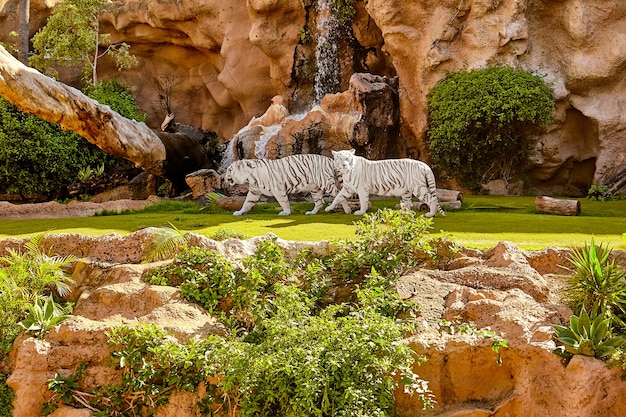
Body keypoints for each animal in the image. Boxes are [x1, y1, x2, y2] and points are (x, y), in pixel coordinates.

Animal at [224, 154, 352, 218]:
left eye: (229, 170)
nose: (224, 178)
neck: (250, 177)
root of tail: (330, 160)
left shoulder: (278, 189)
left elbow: (283, 202)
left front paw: (285, 213)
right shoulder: (254, 192)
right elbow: (247, 203)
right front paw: (239, 212)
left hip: (325, 183)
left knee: (339, 194)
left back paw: (348, 210)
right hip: (315, 188)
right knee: (319, 202)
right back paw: (312, 212)